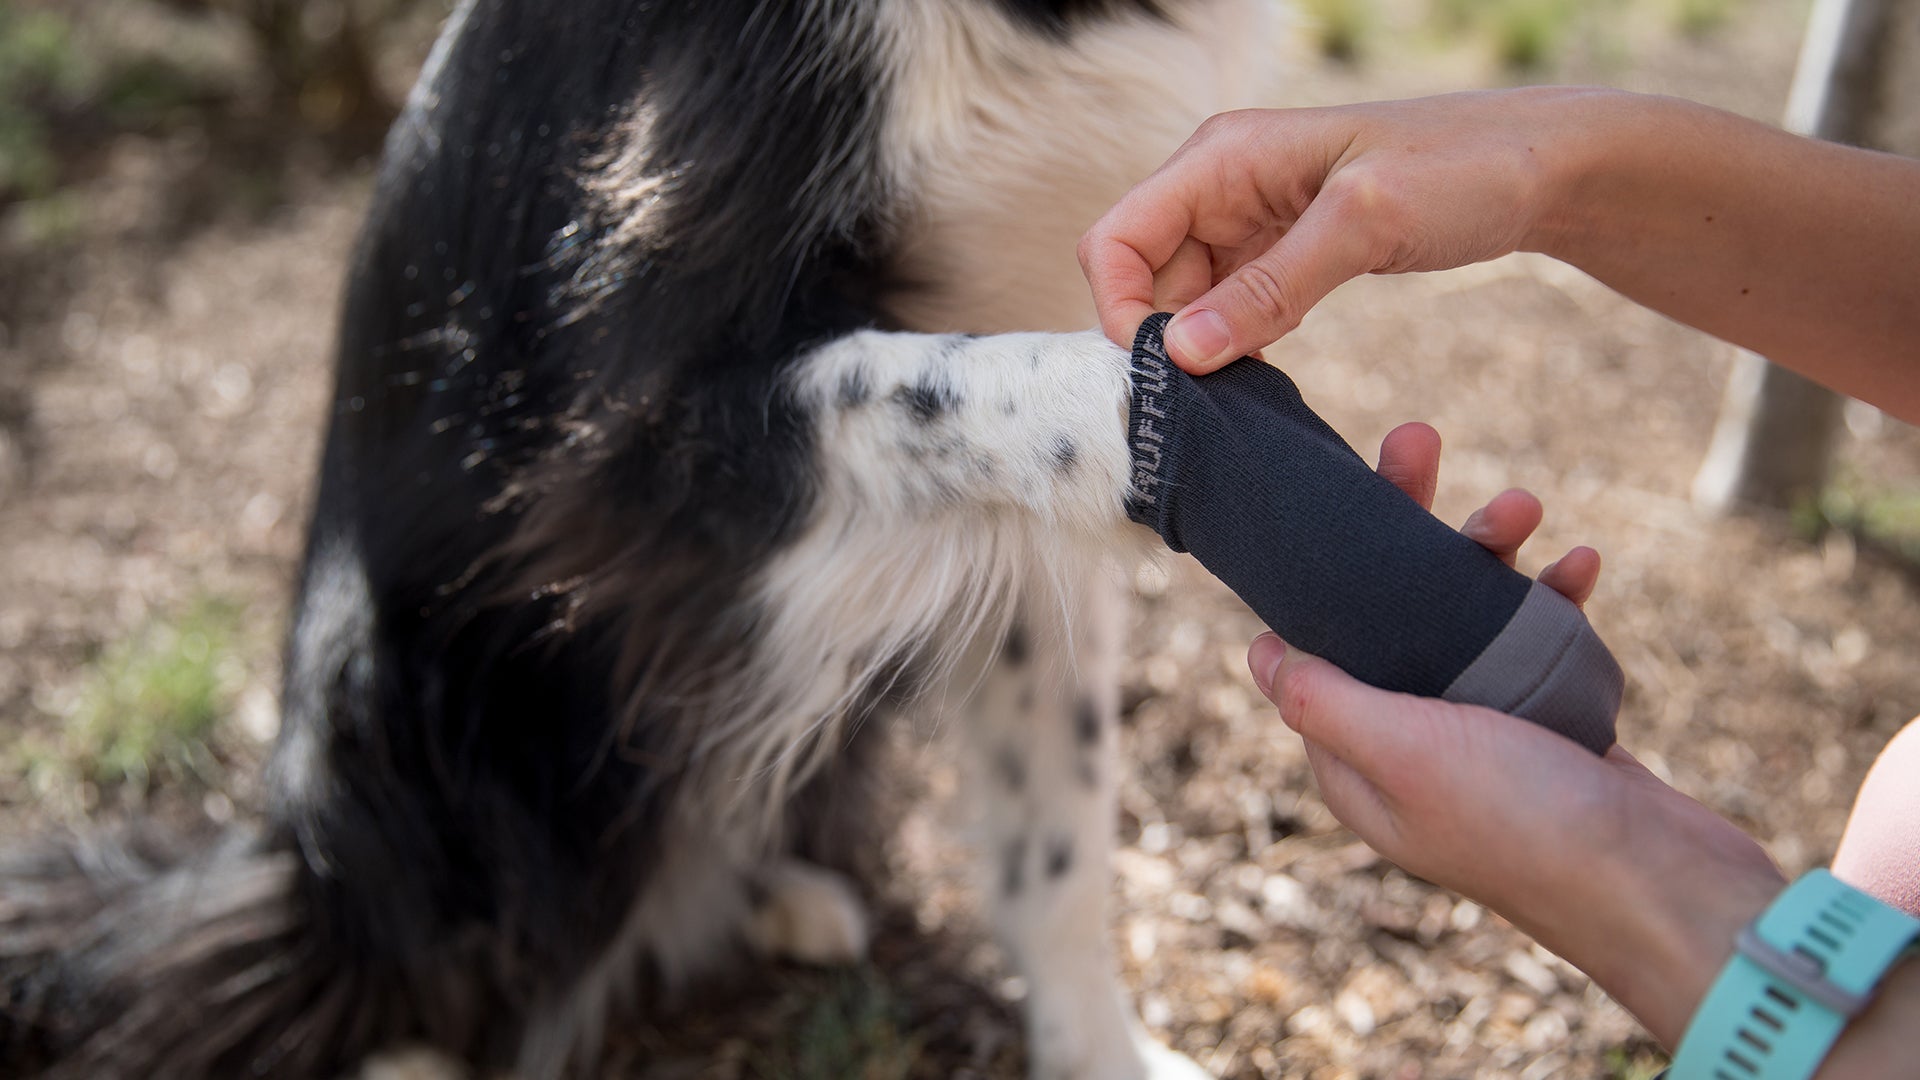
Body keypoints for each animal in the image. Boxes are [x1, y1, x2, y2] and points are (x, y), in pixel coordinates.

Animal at [3, 4, 1290, 1068]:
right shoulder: (623, 440)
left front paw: (1098, 1054)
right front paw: (1200, 429)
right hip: (416, 705)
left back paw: (786, 899)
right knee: (416, 961)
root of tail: (287, 863)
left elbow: (1059, 815)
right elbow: (995, 382)